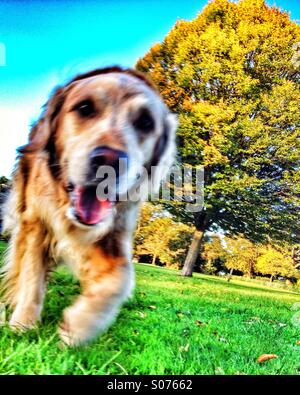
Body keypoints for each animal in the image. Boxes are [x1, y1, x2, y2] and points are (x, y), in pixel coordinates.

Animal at [0, 68, 177, 346]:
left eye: (146, 123)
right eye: (85, 108)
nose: (109, 161)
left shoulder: (114, 234)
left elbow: (120, 280)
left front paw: (79, 323)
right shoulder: (36, 223)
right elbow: (31, 276)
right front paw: (22, 325)